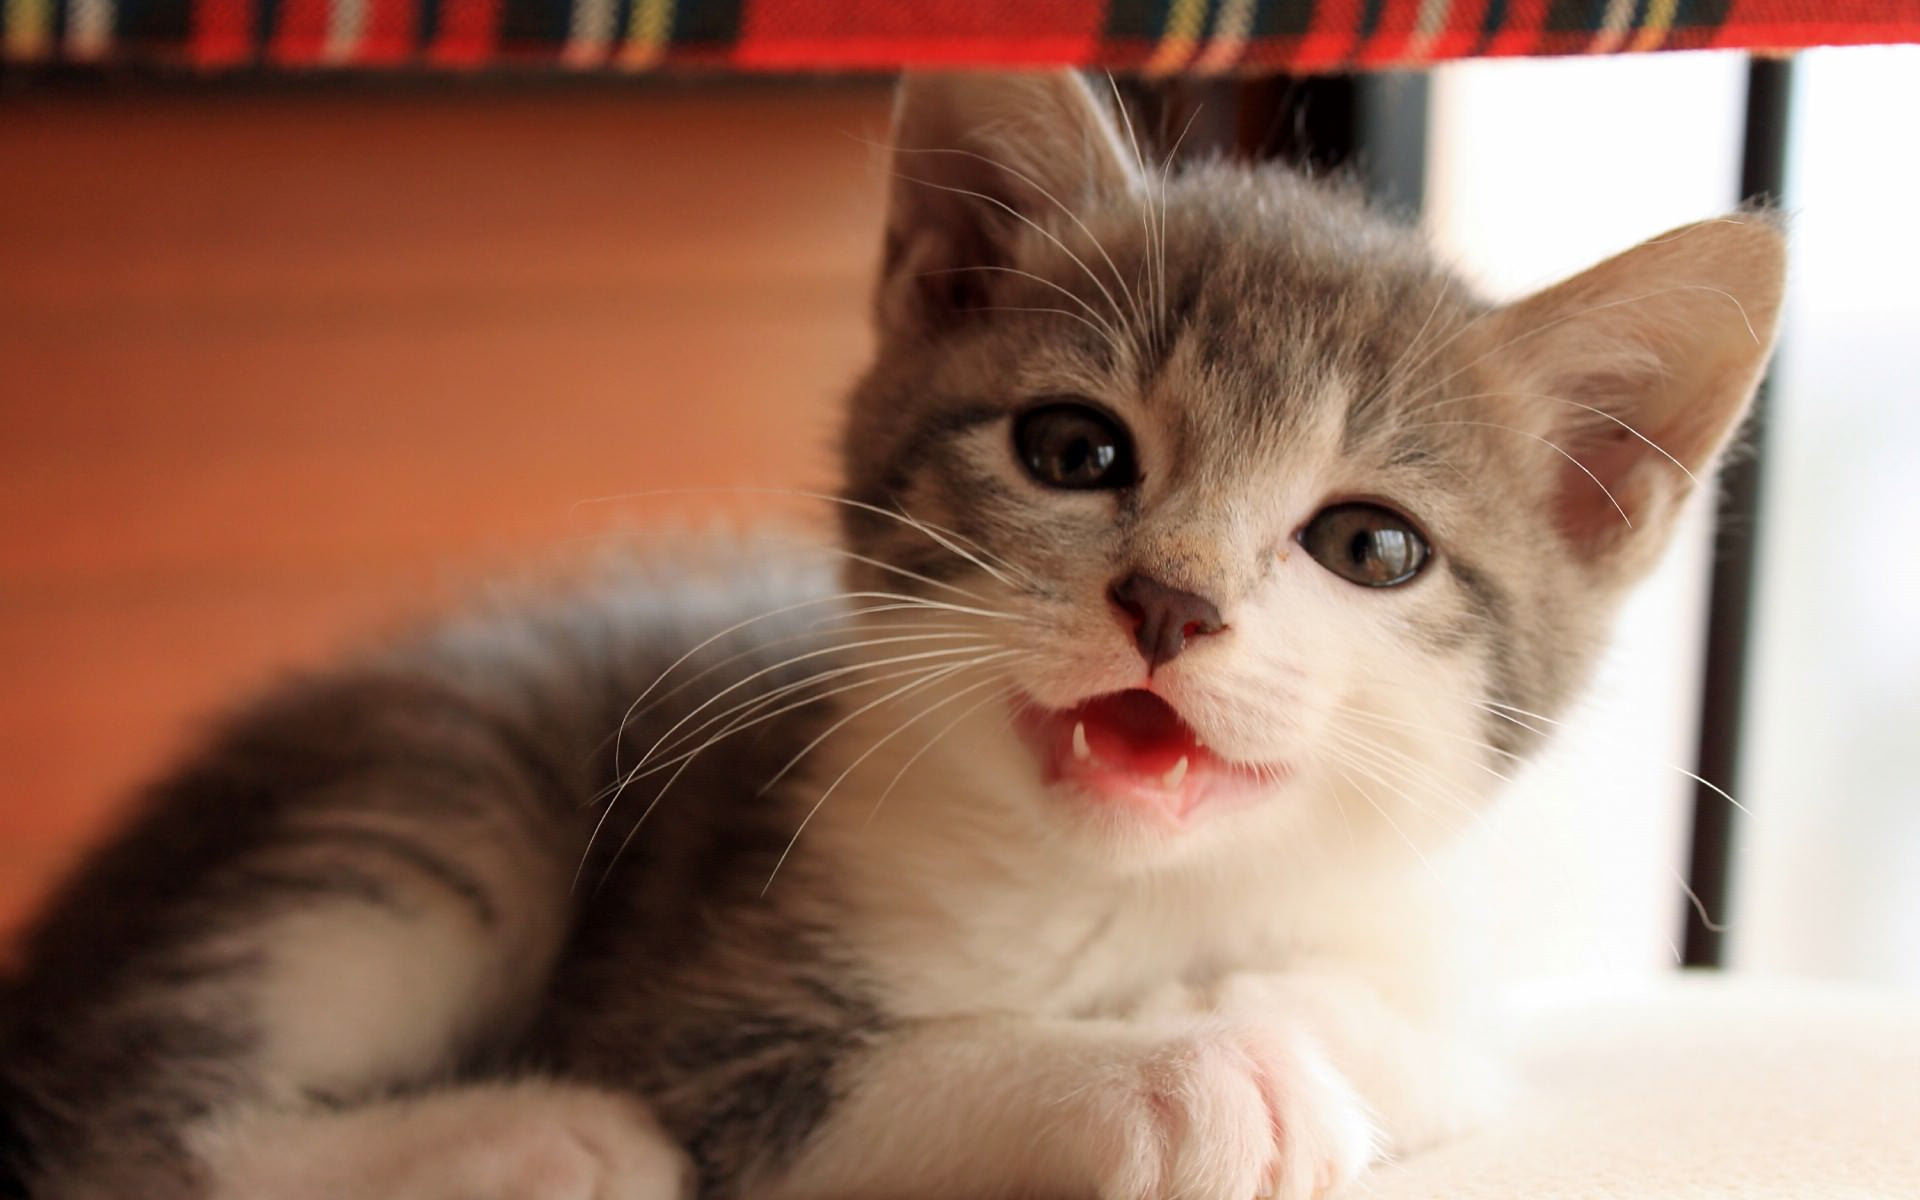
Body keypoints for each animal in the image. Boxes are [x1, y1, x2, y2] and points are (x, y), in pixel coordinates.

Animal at [3, 74, 1781, 1198]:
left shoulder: (1431, 957)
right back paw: (538, 1142)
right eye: (1074, 450)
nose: (1172, 599)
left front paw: (1274, 1022)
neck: (1126, 894)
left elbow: (1425, 1040)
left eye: (1373, 547)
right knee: (122, 1125)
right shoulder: (694, 985)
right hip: (442, 797)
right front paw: (1185, 1074)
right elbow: (848, 1081)